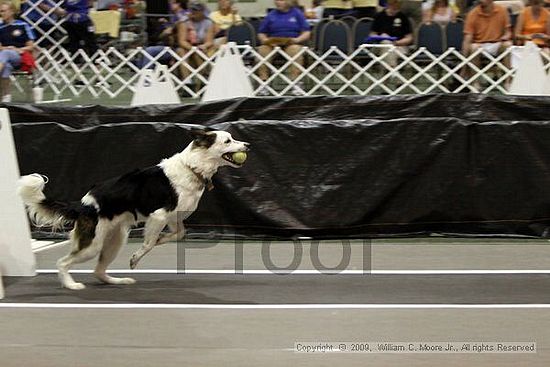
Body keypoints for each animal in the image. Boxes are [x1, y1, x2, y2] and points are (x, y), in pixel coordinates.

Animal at [17, 129, 250, 290]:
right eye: (228, 141)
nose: (247, 145)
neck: (193, 168)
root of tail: (83, 204)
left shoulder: (174, 218)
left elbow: (178, 234)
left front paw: (162, 240)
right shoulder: (159, 216)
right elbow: (148, 244)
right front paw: (137, 257)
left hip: (114, 241)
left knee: (98, 270)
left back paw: (117, 281)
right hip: (92, 244)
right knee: (63, 262)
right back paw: (71, 284)